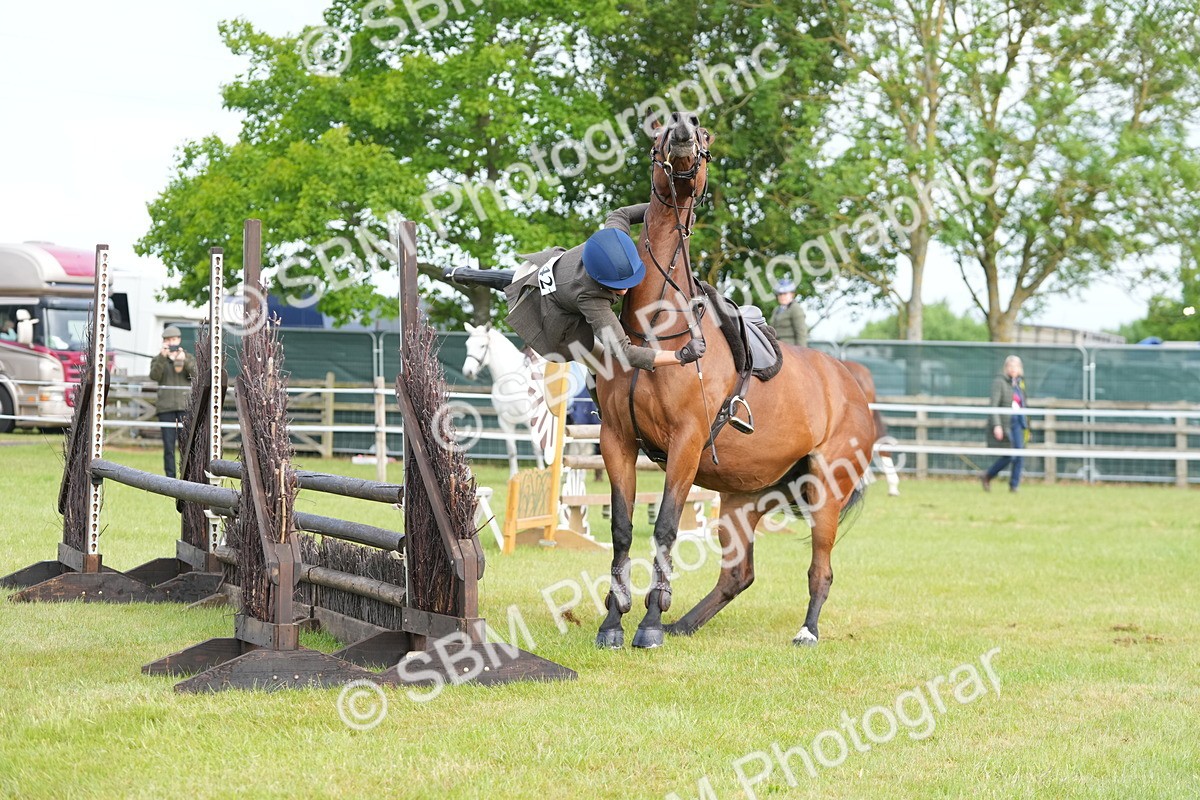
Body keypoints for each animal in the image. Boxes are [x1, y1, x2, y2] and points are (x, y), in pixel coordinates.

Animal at [461, 322, 547, 476]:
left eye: (483, 346)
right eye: (467, 344)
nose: (468, 372)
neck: (510, 381)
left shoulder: (531, 421)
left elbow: (536, 448)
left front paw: (540, 473)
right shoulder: (505, 422)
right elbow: (511, 451)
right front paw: (513, 477)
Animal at [593, 111, 877, 649]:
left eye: (702, 131)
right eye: (661, 128)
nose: (683, 131)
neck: (655, 327)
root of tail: (852, 384)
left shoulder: (685, 442)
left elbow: (664, 528)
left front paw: (650, 623)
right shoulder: (615, 438)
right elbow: (621, 528)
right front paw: (613, 621)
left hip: (826, 490)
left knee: (821, 569)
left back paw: (806, 631)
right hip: (743, 496)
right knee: (737, 573)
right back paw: (685, 624)